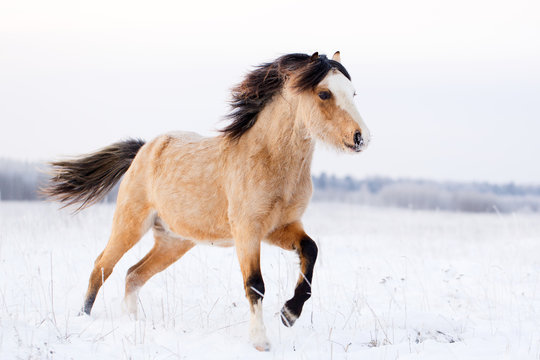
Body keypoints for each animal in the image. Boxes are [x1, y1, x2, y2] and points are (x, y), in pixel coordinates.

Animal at [42, 51, 372, 352]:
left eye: (353, 92)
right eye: (324, 93)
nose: (361, 138)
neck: (270, 161)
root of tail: (143, 149)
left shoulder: (280, 227)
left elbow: (310, 252)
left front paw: (289, 314)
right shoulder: (247, 231)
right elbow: (255, 284)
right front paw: (261, 341)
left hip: (174, 241)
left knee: (134, 274)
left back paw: (133, 323)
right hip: (130, 224)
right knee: (102, 266)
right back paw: (84, 317)